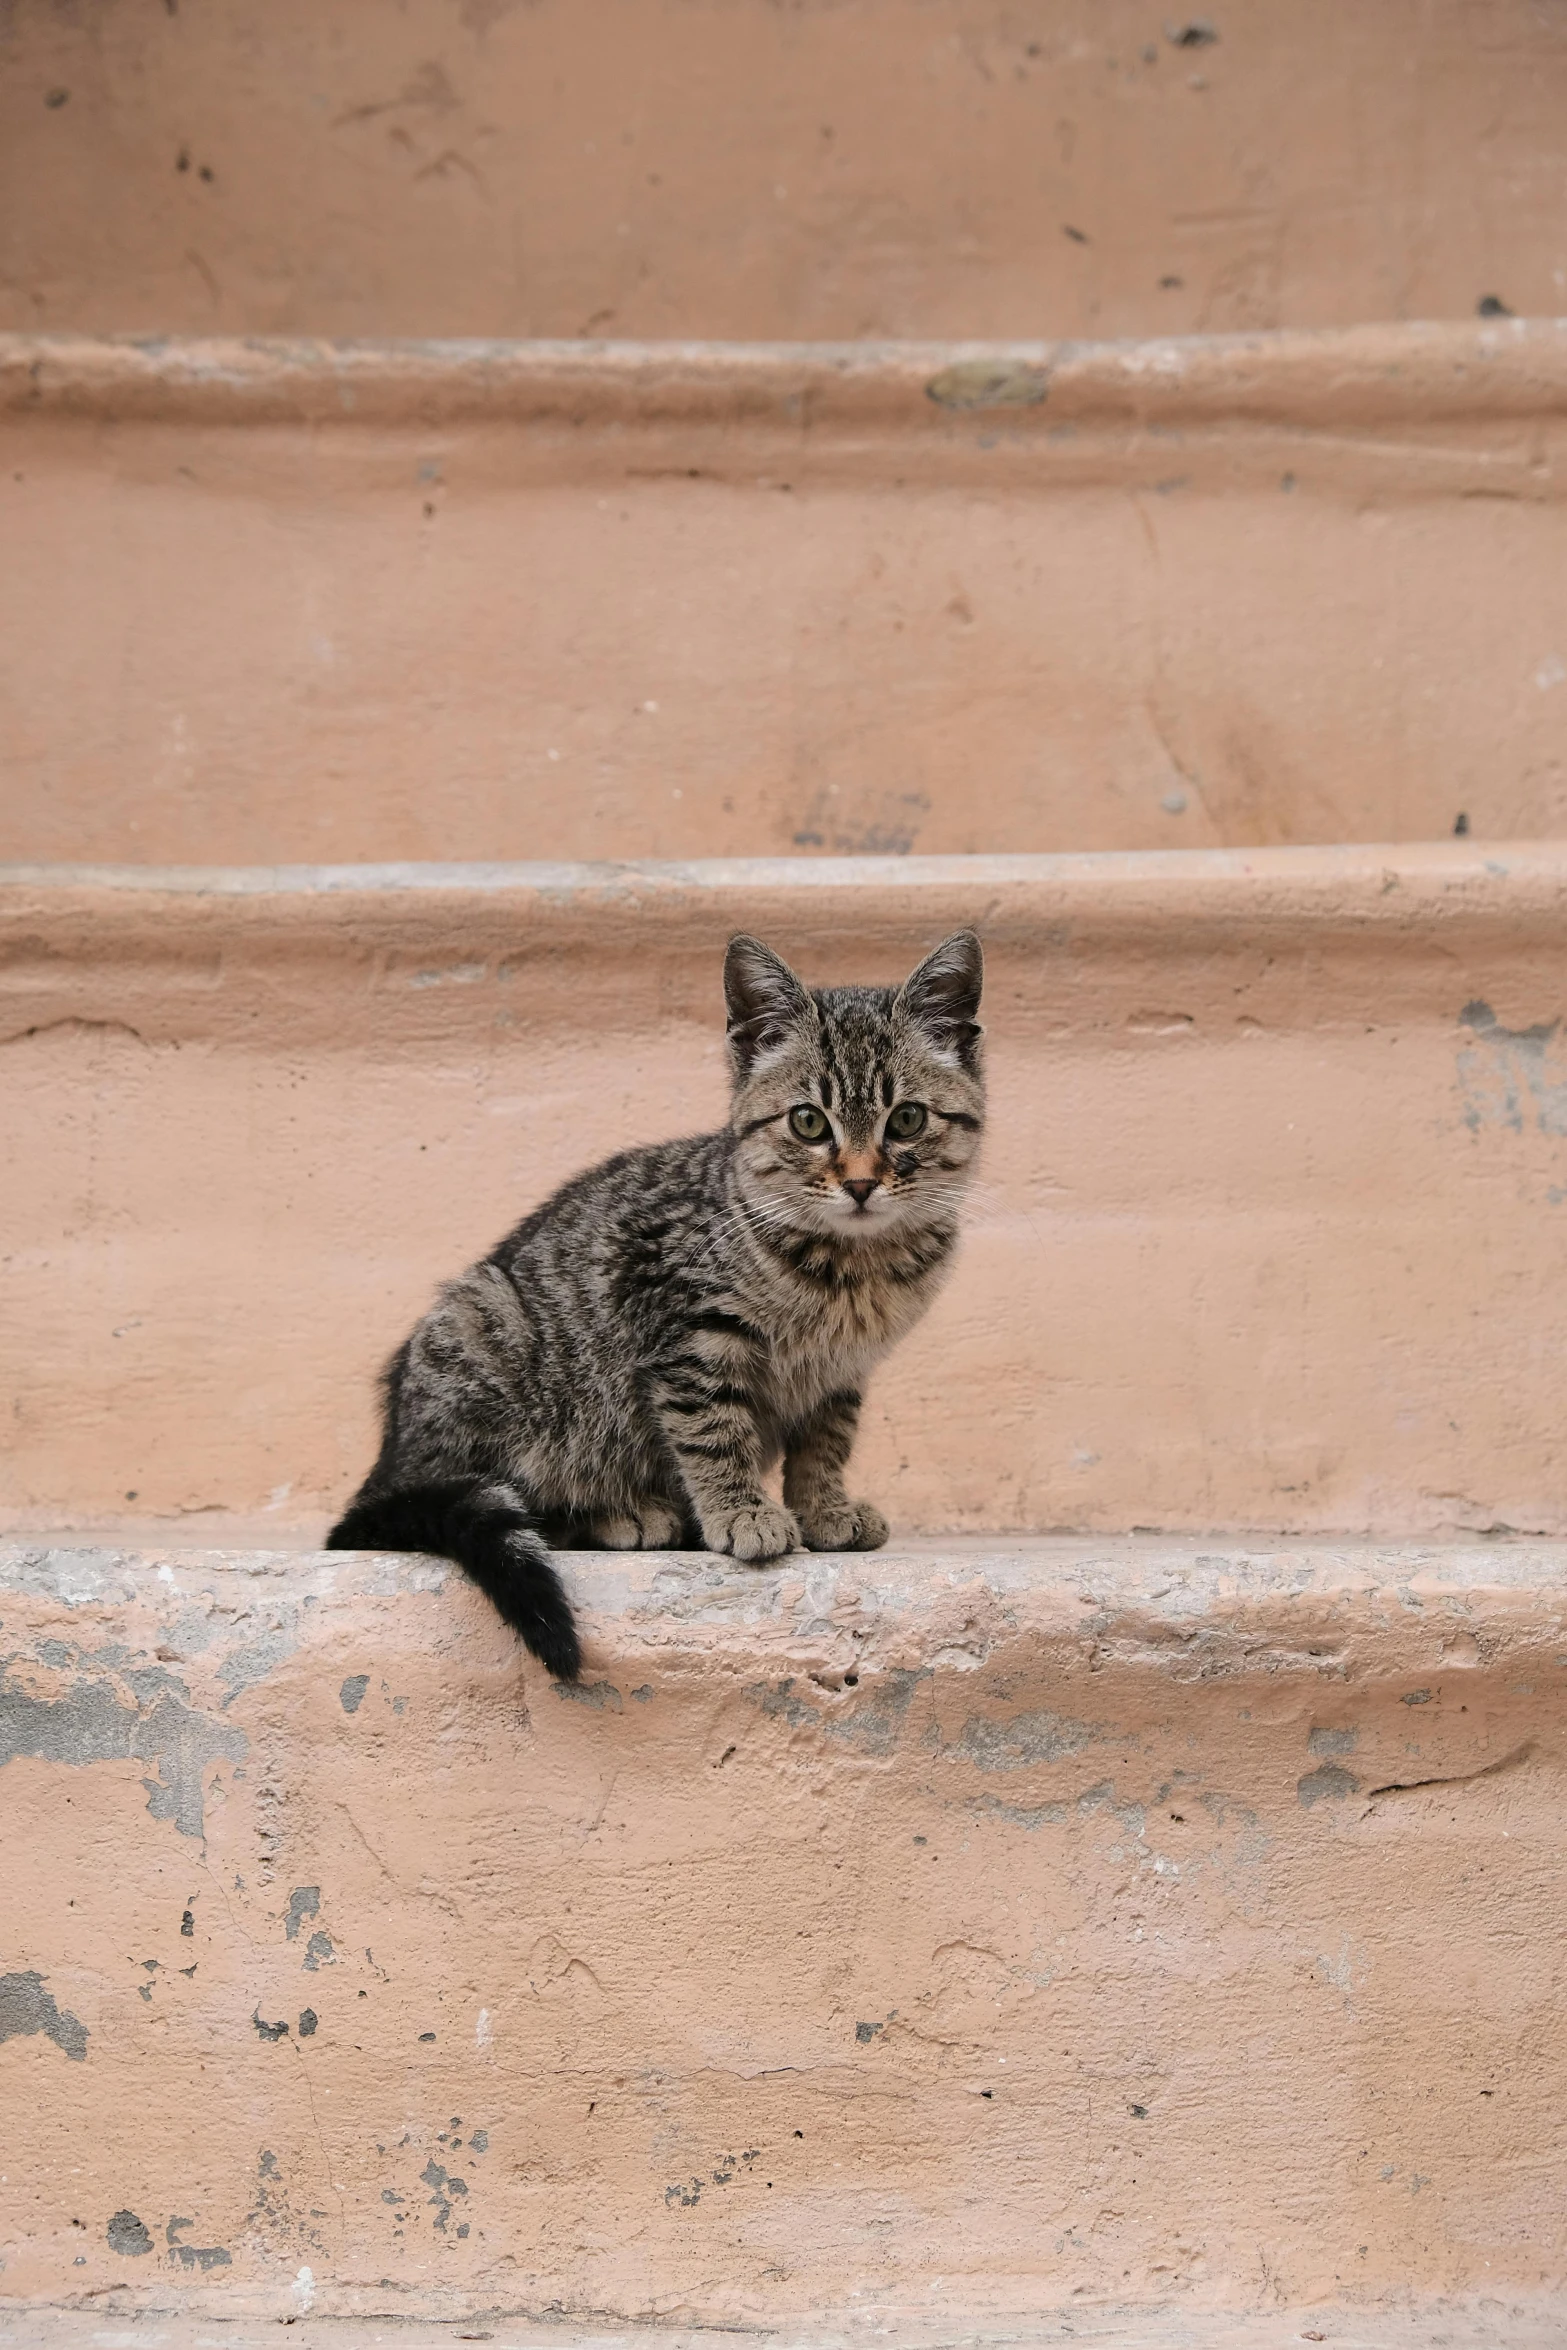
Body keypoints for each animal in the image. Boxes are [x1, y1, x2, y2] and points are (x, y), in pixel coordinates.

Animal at [326, 925, 986, 1682]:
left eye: (905, 1119)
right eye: (808, 1123)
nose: (858, 1184)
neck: (851, 1266)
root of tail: (390, 1459)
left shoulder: (841, 1373)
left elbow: (825, 1443)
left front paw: (824, 1509)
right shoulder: (688, 1332)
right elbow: (712, 1430)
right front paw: (741, 1512)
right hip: (483, 1330)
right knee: (498, 1493)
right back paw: (626, 1513)